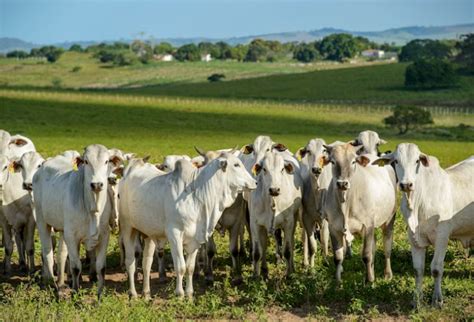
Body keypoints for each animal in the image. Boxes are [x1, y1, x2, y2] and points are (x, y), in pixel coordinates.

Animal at [32, 145, 122, 298]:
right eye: (86, 161)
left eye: (106, 161)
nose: (97, 184)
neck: (92, 209)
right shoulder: (72, 237)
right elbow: (75, 267)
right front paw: (75, 293)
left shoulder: (104, 236)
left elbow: (101, 268)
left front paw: (100, 295)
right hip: (42, 220)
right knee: (47, 252)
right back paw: (50, 283)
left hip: (63, 230)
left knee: (61, 254)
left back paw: (61, 284)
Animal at [118, 152, 258, 298]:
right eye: (236, 165)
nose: (255, 182)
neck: (196, 194)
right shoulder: (174, 234)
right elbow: (180, 267)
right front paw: (180, 294)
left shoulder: (196, 238)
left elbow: (190, 268)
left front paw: (189, 294)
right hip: (128, 228)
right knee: (130, 262)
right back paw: (133, 293)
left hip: (149, 235)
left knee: (146, 263)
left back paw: (146, 293)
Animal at [250, 150, 302, 278]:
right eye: (264, 169)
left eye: (282, 169)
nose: (274, 190)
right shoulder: (255, 224)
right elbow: (257, 252)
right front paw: (255, 276)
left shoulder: (289, 223)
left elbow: (287, 250)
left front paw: (288, 275)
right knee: (264, 244)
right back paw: (264, 269)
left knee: (291, 243)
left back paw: (292, 267)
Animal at [322, 143, 396, 284]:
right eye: (333, 161)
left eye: (353, 161)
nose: (342, 183)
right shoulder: (334, 227)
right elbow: (338, 257)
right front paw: (337, 282)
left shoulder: (367, 225)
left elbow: (366, 255)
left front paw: (368, 281)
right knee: (374, 247)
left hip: (389, 220)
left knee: (387, 247)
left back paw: (388, 274)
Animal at [374, 143, 474, 306]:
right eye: (396, 161)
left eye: (417, 161)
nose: (406, 184)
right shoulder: (414, 238)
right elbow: (418, 270)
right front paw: (417, 299)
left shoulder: (442, 237)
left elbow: (436, 269)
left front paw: (437, 300)